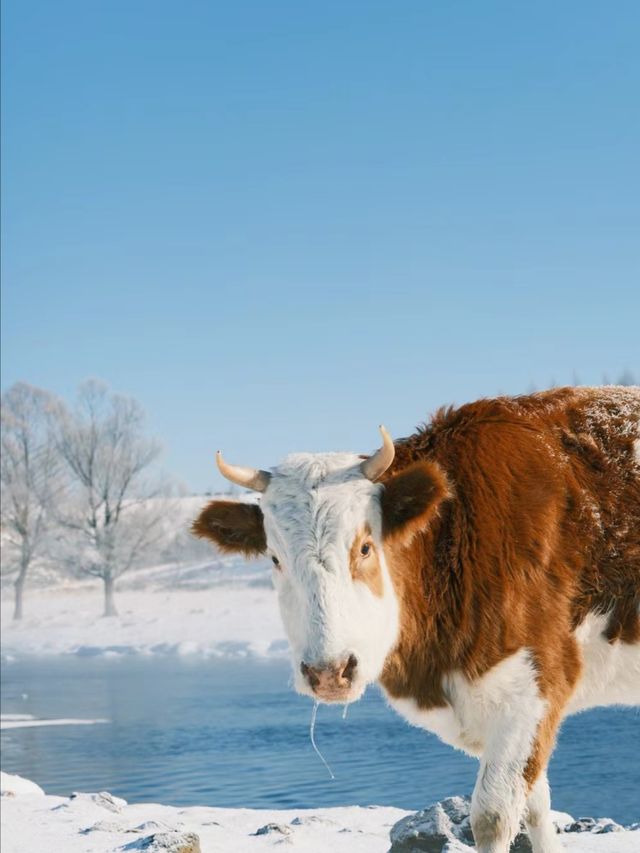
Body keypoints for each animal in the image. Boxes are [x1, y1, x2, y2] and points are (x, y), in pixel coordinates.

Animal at [194, 388, 640, 852]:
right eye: (275, 558)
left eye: (365, 547)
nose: (329, 672)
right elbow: (536, 807)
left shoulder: (531, 685)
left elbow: (494, 816)